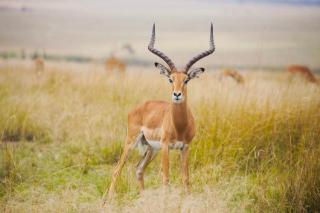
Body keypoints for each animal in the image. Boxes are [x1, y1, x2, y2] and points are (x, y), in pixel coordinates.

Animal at [107, 22, 215, 199]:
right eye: (171, 79)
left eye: (186, 80)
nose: (177, 94)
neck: (180, 127)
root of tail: (140, 106)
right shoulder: (165, 146)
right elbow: (166, 177)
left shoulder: (185, 147)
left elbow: (186, 178)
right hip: (132, 141)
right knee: (117, 170)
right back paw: (108, 201)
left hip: (152, 149)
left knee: (139, 169)